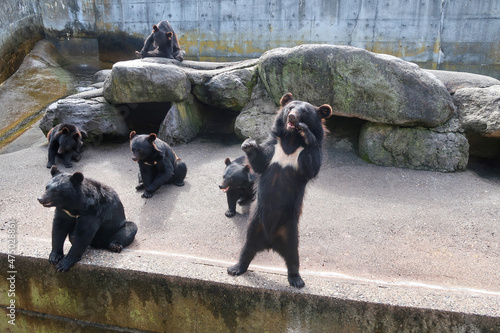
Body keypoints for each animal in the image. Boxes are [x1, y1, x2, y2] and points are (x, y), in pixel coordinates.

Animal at [228, 92, 332, 286]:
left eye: (304, 112)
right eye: (290, 108)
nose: (292, 117)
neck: (291, 140)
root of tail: (269, 242)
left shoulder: (303, 156)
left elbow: (312, 165)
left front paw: (306, 132)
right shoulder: (272, 148)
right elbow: (260, 161)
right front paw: (249, 144)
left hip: (290, 229)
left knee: (293, 256)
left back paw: (296, 279)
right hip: (255, 224)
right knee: (247, 248)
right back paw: (236, 268)